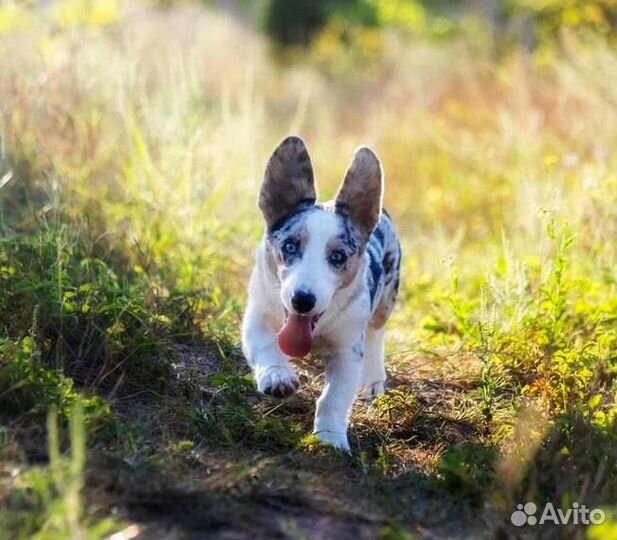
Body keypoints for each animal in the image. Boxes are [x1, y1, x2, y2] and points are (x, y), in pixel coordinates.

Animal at [241, 136, 400, 452]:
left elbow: (334, 399)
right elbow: (265, 345)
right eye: (289, 246)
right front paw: (278, 377)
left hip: (387, 296)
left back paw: (373, 380)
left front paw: (330, 440)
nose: (302, 300)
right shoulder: (257, 314)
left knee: (376, 333)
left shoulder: (347, 350)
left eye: (338, 257)